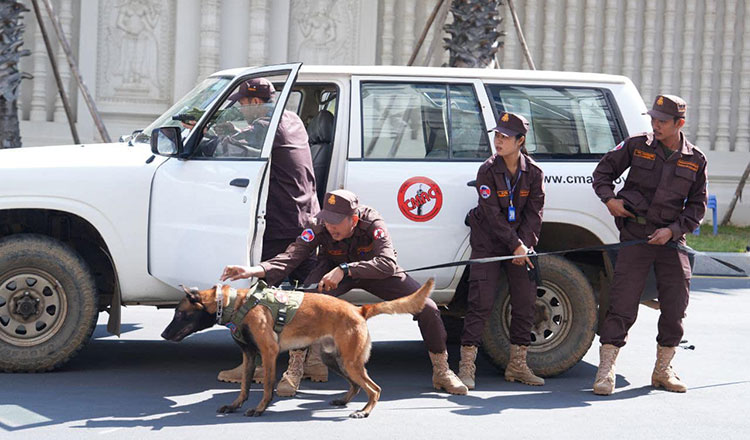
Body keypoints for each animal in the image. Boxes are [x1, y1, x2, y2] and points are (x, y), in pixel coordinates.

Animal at [164, 278, 434, 420]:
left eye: (180, 314)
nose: (163, 335)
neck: (234, 304)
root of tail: (359, 310)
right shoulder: (250, 356)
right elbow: (244, 386)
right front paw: (234, 405)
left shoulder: (269, 353)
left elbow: (266, 386)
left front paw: (260, 408)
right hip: (335, 361)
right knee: (358, 386)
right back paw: (345, 401)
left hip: (350, 362)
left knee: (375, 389)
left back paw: (364, 411)